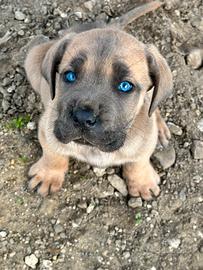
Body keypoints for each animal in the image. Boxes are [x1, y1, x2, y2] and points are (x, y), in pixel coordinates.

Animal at [24, 1, 173, 199]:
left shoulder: (146, 138)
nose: (82, 118)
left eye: (125, 86)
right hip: (32, 58)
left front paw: (142, 181)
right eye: (69, 76)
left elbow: (139, 160)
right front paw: (48, 174)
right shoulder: (47, 129)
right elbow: (52, 153)